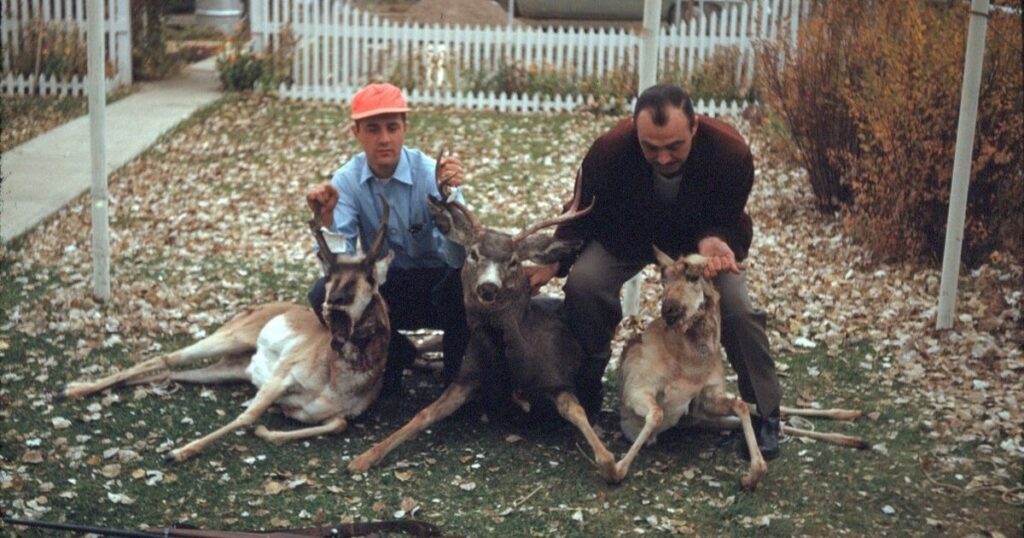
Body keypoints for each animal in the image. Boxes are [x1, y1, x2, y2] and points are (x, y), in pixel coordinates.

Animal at [60, 199, 395, 463]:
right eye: (330, 278)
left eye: (369, 278)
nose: (334, 304)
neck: (336, 380)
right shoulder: (280, 377)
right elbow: (247, 415)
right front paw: (178, 452)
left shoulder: (335, 416)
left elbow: (336, 425)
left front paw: (265, 432)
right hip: (227, 339)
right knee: (165, 358)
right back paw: (72, 389)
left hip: (229, 369)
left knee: (170, 373)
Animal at [347, 170, 621, 482]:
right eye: (474, 254)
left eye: (513, 261)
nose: (488, 287)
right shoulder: (467, 376)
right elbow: (424, 414)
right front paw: (363, 458)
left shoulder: (558, 379)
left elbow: (580, 417)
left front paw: (613, 464)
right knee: (421, 346)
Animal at [614, 249, 867, 489]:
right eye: (663, 280)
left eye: (693, 277)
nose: (669, 310)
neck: (690, 365)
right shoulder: (637, 391)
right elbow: (657, 415)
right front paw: (615, 468)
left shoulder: (705, 397)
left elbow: (741, 405)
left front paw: (752, 475)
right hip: (702, 419)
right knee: (774, 418)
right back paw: (852, 431)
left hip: (704, 416)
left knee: (766, 410)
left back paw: (851, 421)